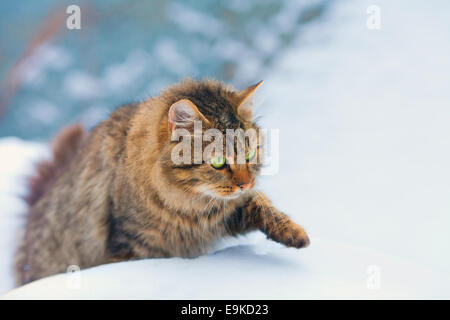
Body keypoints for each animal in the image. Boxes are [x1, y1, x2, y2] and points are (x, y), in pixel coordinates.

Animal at [14, 79, 310, 284]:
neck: (188, 205)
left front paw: (295, 235)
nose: (246, 184)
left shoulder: (225, 213)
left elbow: (264, 208)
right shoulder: (131, 244)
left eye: (249, 155)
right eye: (217, 162)